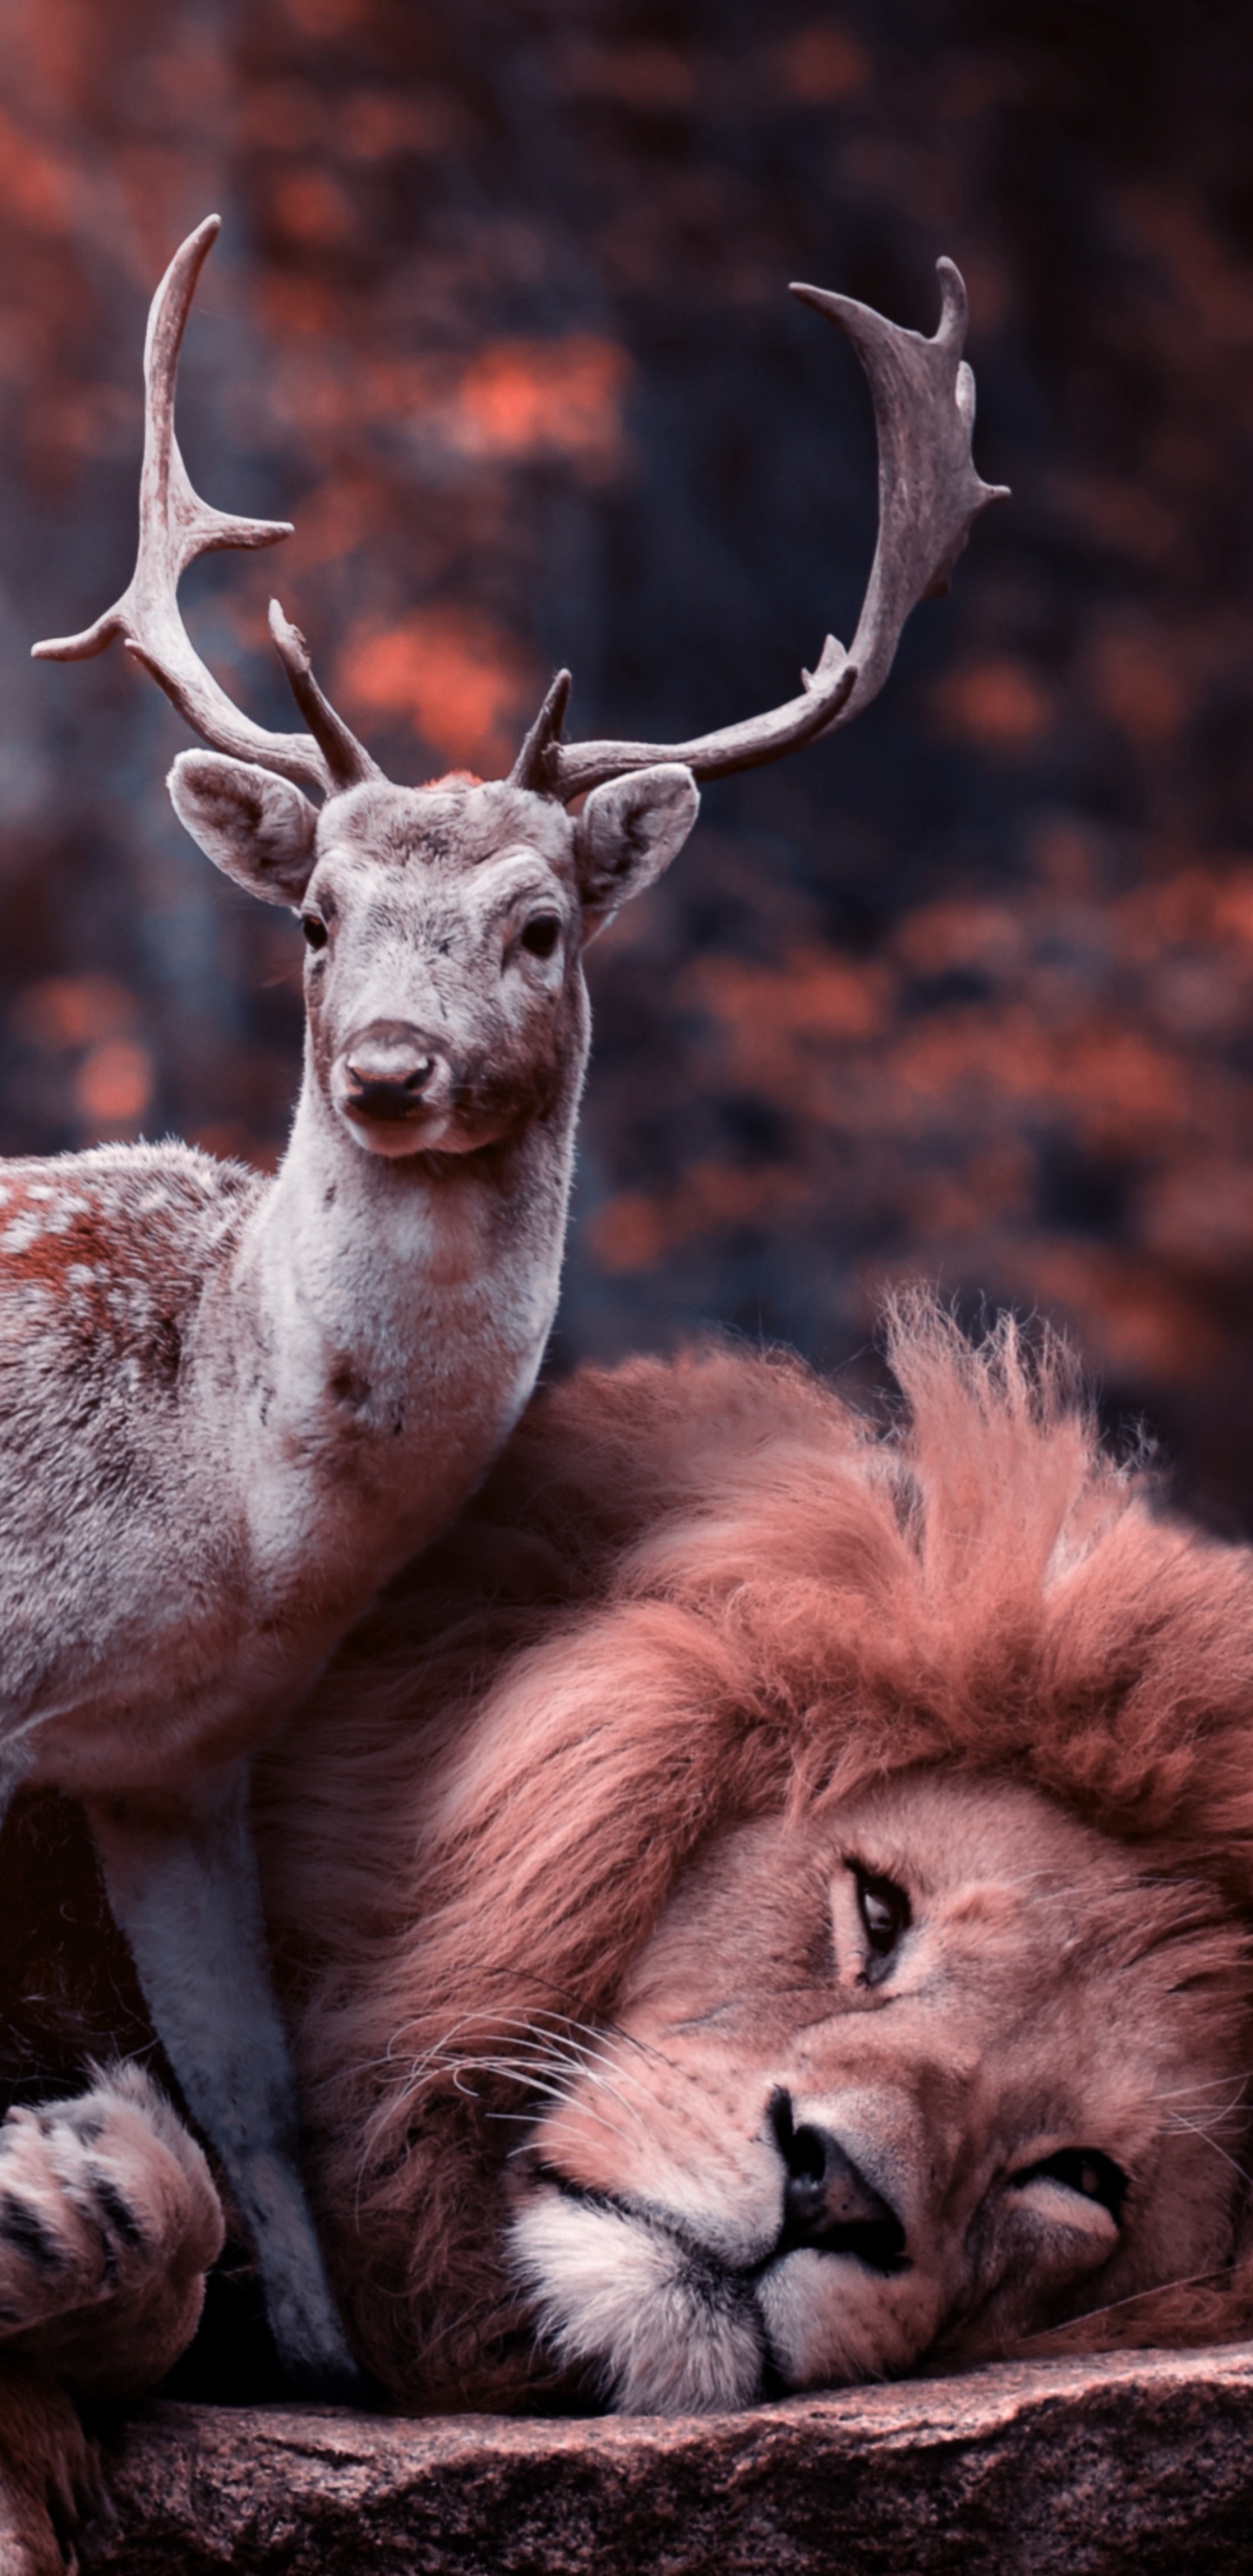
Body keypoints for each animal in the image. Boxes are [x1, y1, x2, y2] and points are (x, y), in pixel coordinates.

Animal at [10, 216, 1005, 2390]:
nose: (388, 1066)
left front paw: (324, 2362)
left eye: (539, 925)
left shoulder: (175, 1754)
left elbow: (253, 2085)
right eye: (314, 918)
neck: (227, 1518)